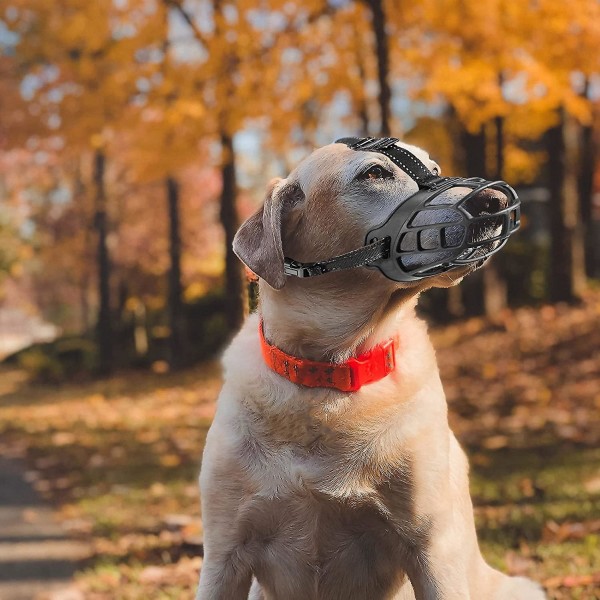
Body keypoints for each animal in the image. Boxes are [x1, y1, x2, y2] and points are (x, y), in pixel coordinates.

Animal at [196, 138, 544, 596]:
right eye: (374, 174)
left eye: (435, 167)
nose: (496, 200)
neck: (332, 371)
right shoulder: (224, 555)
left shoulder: (431, 548)